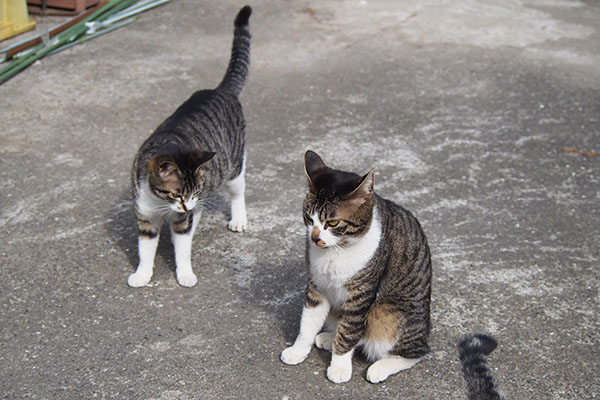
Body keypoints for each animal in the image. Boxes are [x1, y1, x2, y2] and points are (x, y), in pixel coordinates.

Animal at [127, 5, 252, 288]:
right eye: (177, 194)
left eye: (188, 193)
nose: (187, 205)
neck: (161, 203)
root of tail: (220, 90)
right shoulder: (146, 218)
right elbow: (145, 250)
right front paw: (142, 274)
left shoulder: (183, 218)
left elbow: (183, 248)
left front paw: (185, 274)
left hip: (234, 168)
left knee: (237, 192)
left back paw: (238, 218)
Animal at [282, 151, 432, 384]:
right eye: (309, 218)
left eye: (333, 223)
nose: (315, 238)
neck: (337, 250)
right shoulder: (317, 285)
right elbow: (307, 322)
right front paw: (298, 350)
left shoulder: (360, 296)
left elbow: (349, 332)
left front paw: (340, 367)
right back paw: (328, 338)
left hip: (387, 313)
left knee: (418, 352)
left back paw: (380, 367)